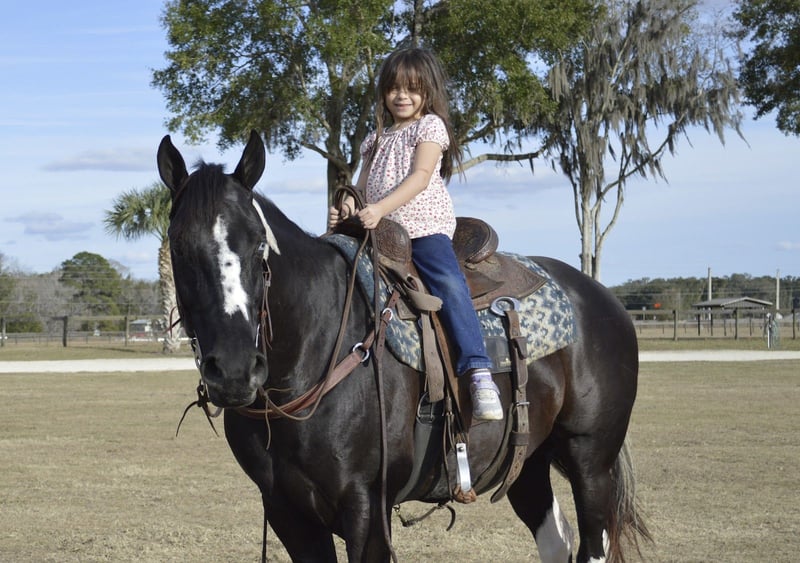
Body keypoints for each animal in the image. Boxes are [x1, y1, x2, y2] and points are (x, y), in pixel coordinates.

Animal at [157, 130, 650, 562]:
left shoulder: (366, 509)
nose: (235, 372)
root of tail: (604, 299)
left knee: (592, 543)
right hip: (529, 461)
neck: (313, 354)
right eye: (178, 248)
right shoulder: (286, 511)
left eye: (259, 246)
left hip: (591, 461)